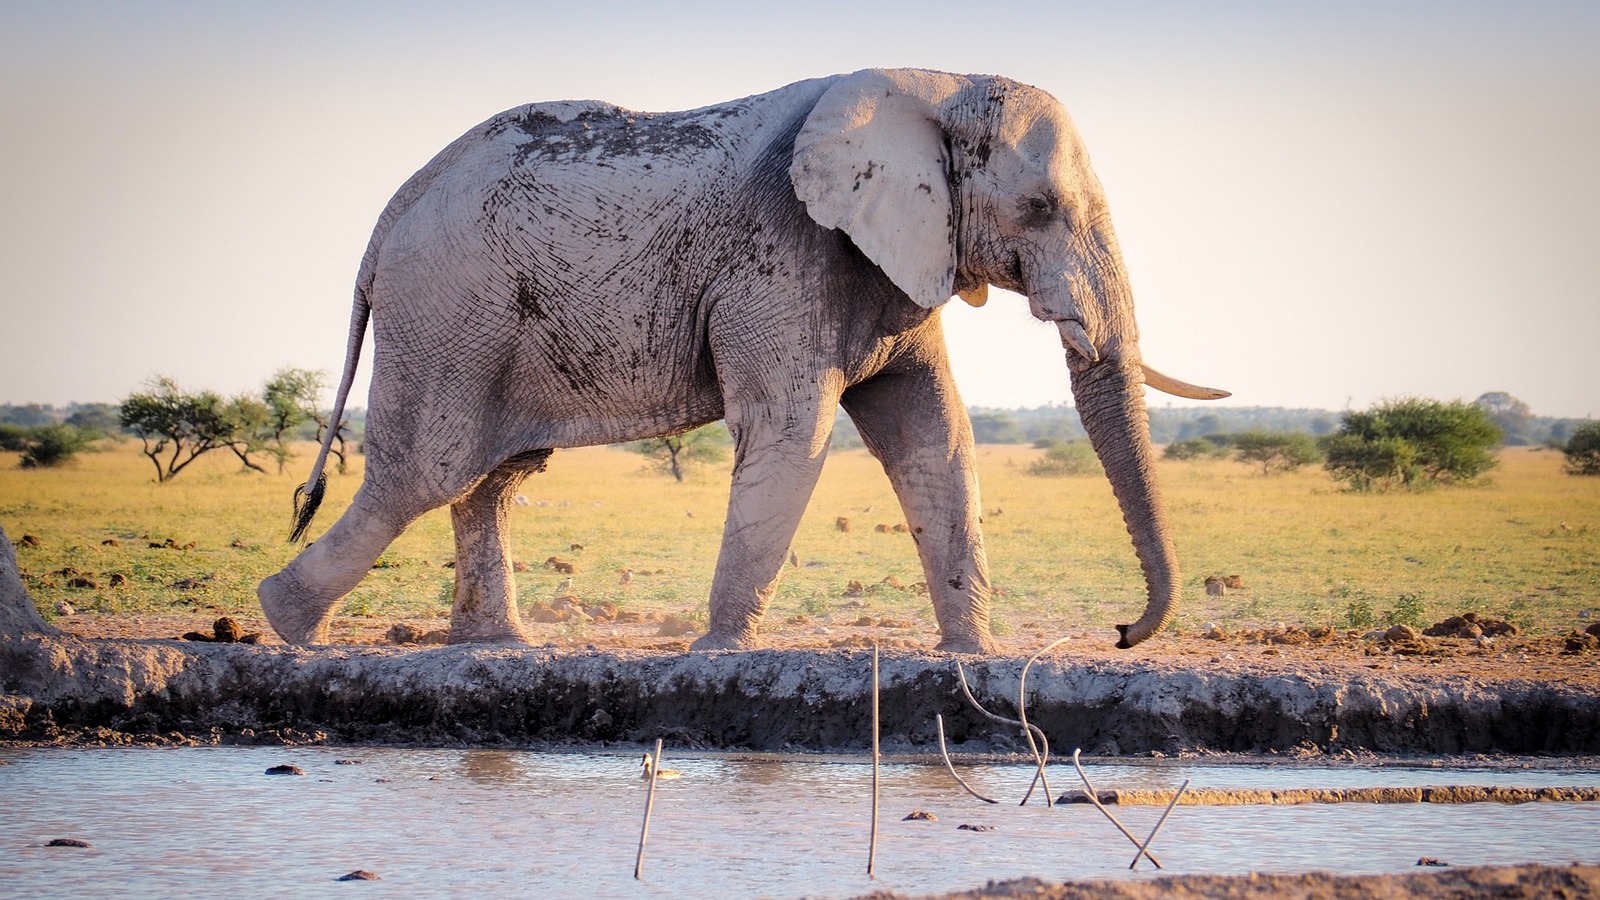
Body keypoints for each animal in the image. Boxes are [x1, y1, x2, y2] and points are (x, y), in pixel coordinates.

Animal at [262, 64, 1228, 650]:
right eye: (1038, 208)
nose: (1120, 634)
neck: (933, 82)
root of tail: (391, 212)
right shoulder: (786, 252)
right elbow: (792, 432)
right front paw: (718, 650)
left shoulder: (890, 260)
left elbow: (935, 435)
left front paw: (973, 657)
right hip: (450, 310)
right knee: (425, 472)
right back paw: (288, 624)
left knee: (491, 476)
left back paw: (497, 646)